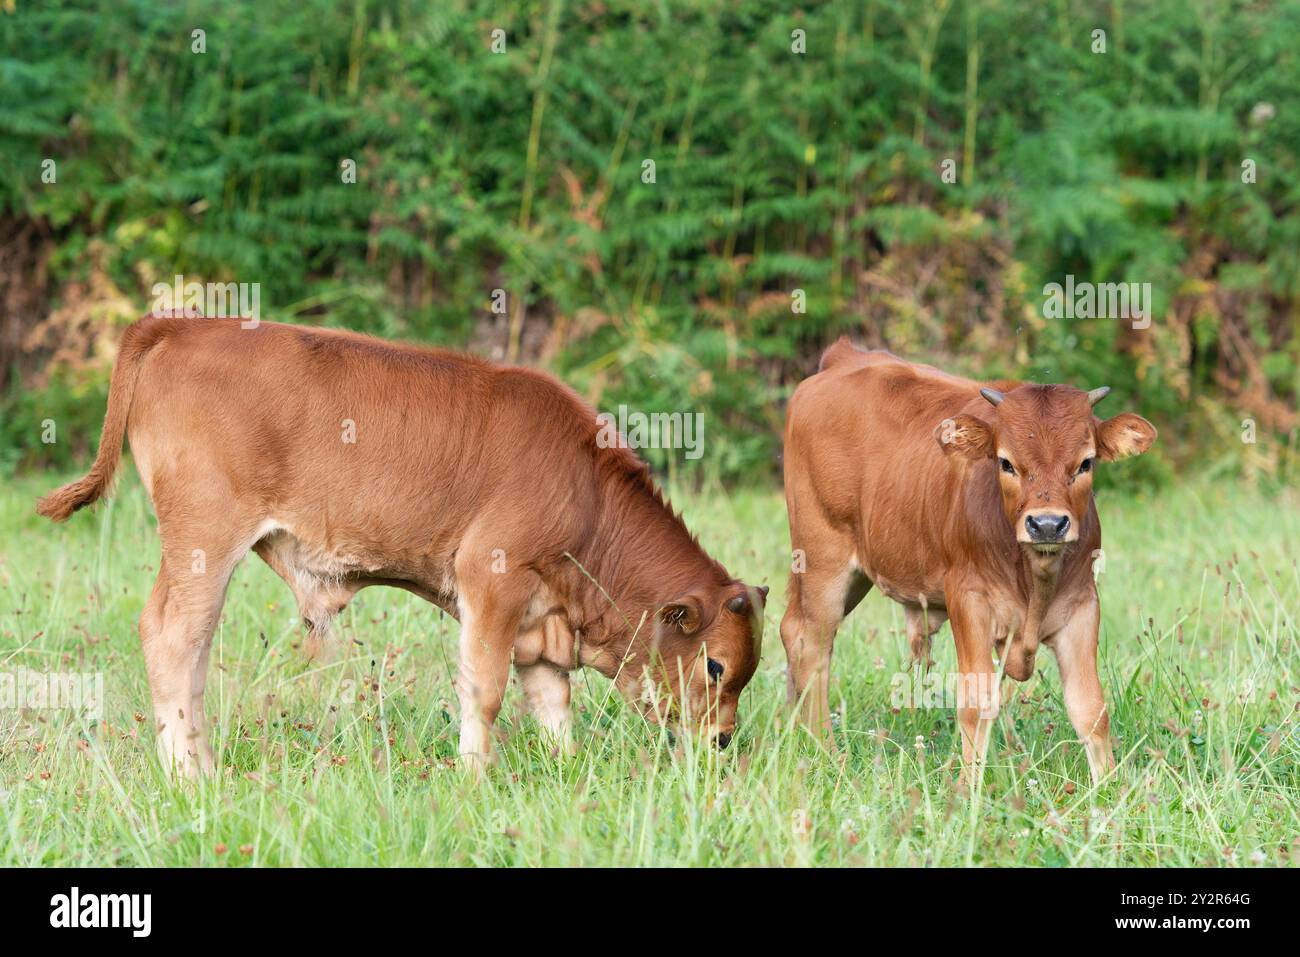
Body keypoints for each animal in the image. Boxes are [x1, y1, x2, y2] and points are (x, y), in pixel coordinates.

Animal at [37, 316, 766, 777]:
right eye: (715, 667)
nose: (723, 741)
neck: (587, 495)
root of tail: (181, 325)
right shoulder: (491, 578)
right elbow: (484, 689)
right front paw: (474, 775)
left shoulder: (542, 617)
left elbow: (552, 702)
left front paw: (566, 769)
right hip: (203, 540)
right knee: (173, 638)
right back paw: (192, 774)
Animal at [780, 340, 1156, 785]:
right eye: (1005, 462)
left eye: (1086, 462)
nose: (1047, 524)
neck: (1034, 577)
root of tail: (844, 356)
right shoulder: (968, 600)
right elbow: (976, 704)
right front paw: (968, 788)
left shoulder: (1083, 605)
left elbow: (1090, 709)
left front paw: (1111, 788)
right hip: (822, 558)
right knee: (812, 645)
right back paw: (827, 752)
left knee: (795, 632)